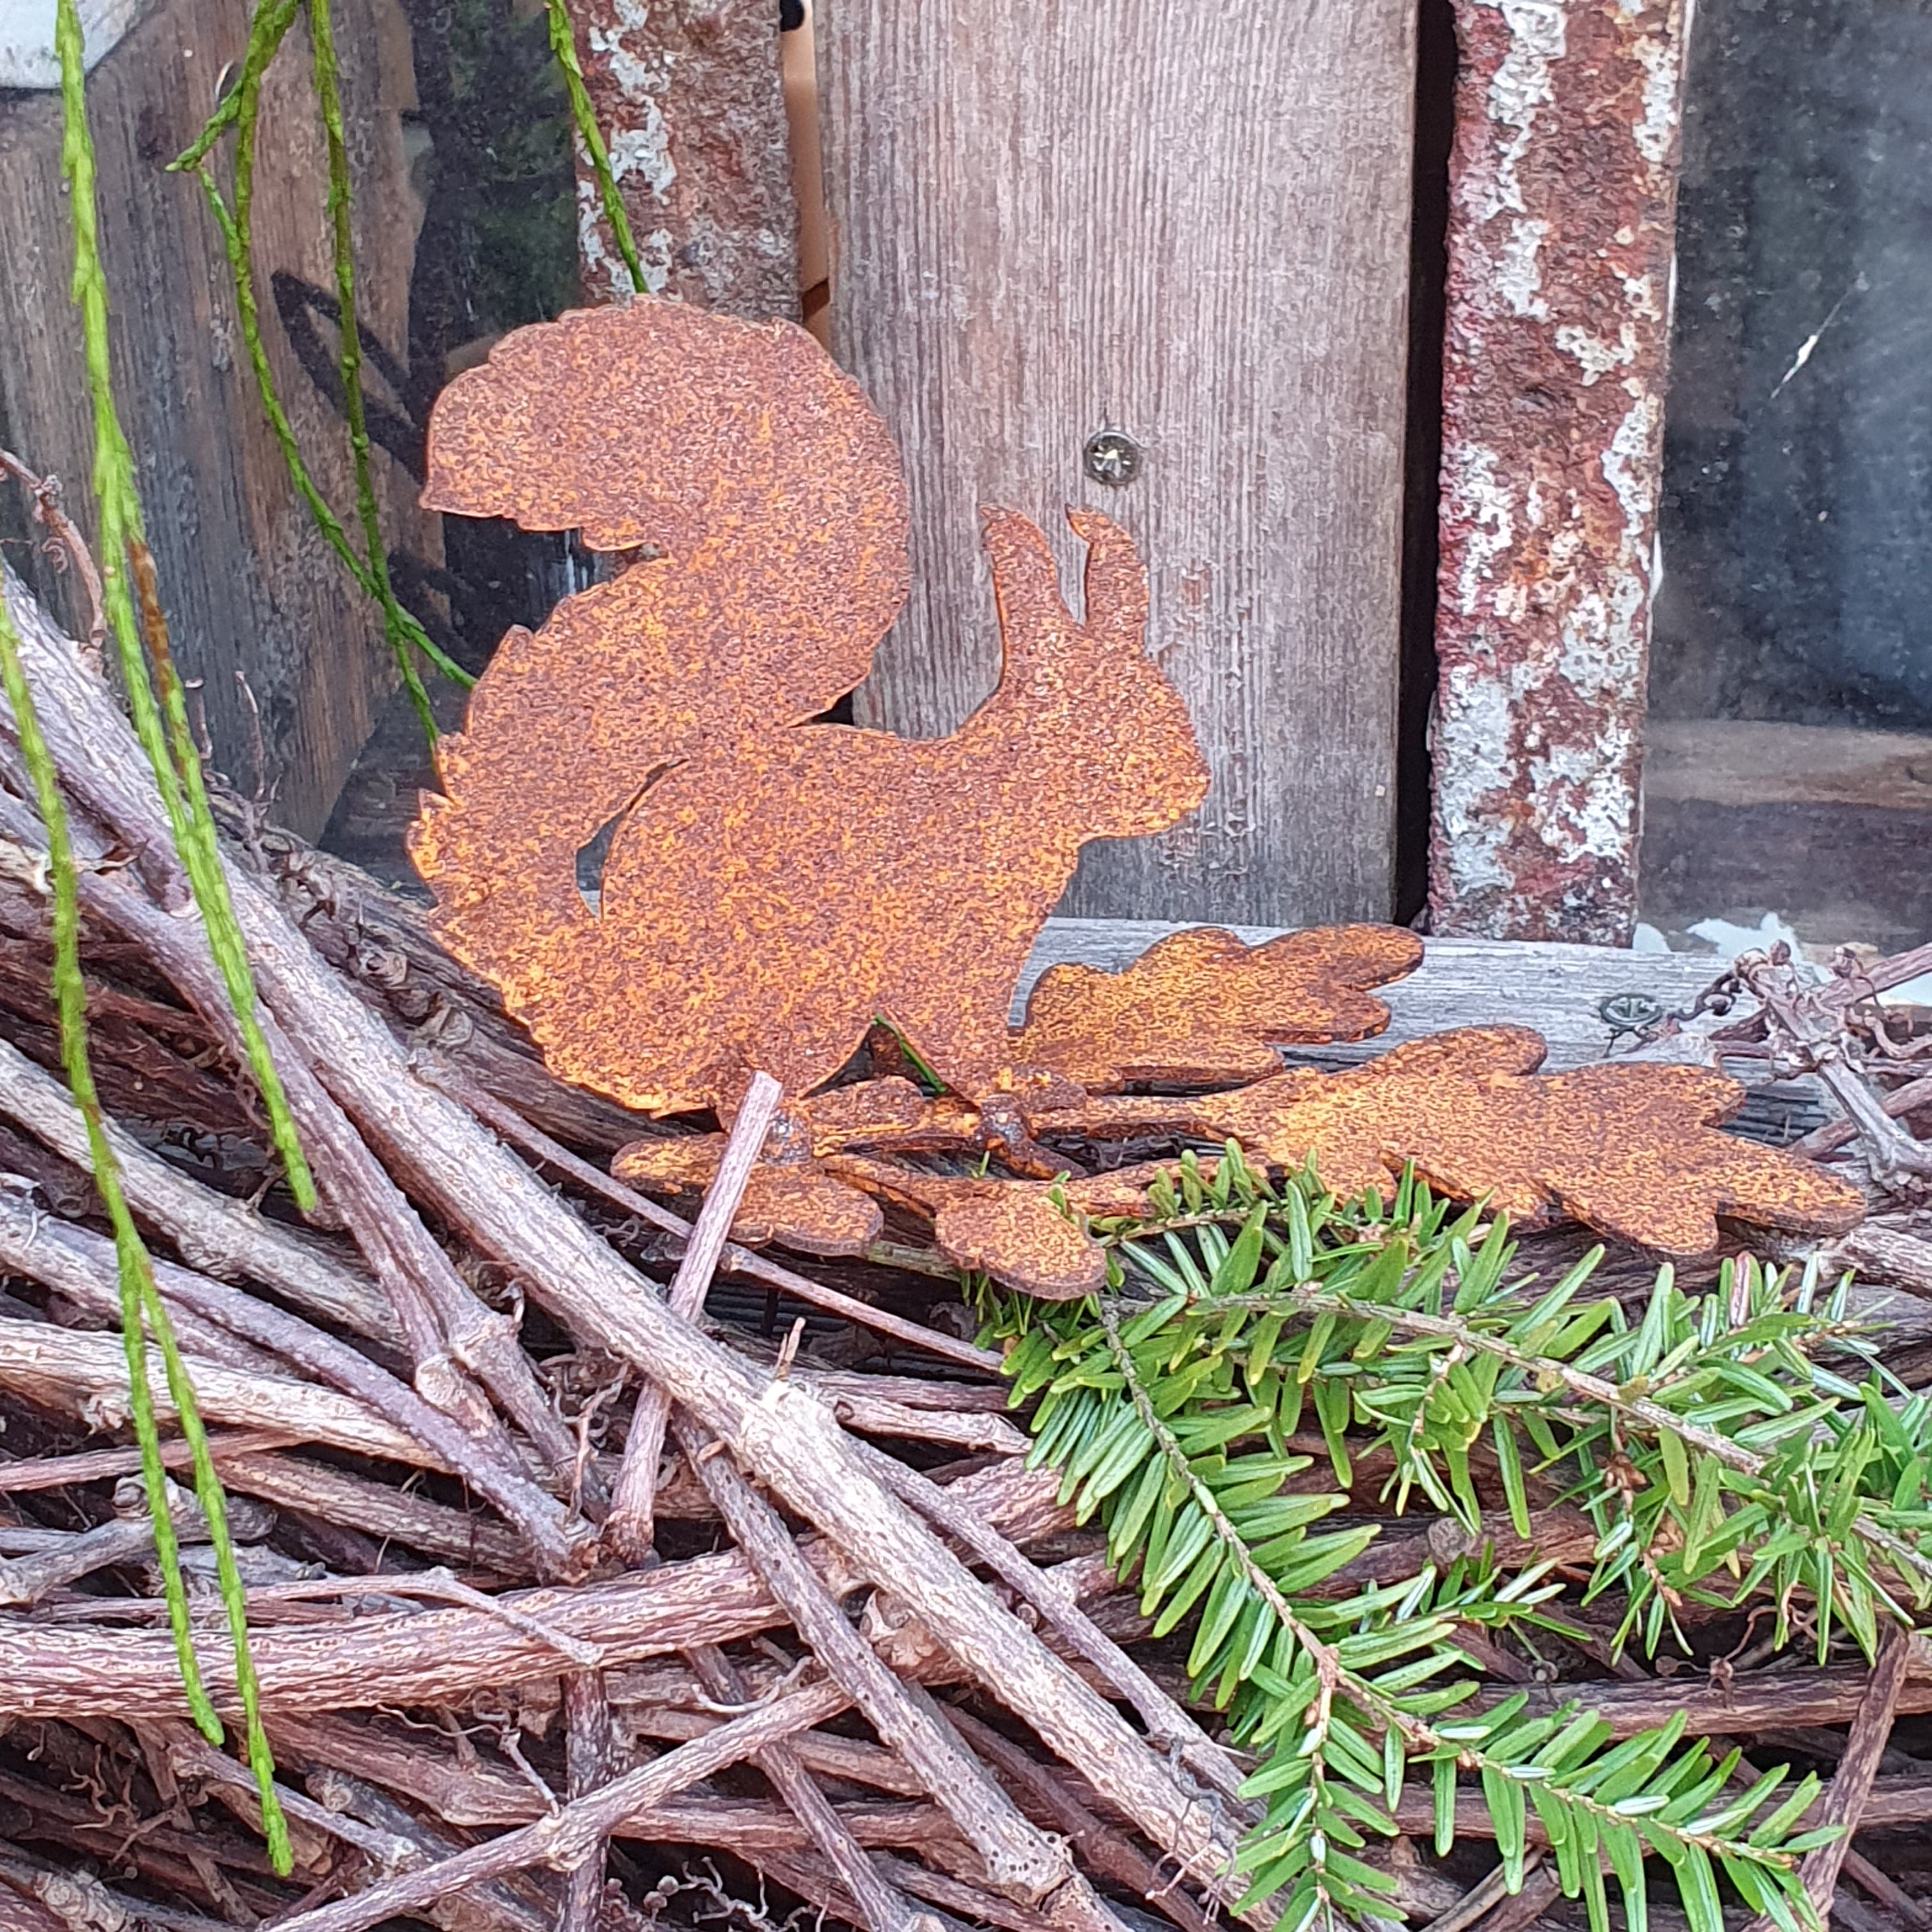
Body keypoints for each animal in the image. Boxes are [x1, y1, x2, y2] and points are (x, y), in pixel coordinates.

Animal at [408, 298, 1208, 1117]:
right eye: (1115, 726)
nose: (1194, 787)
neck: (1006, 792)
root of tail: (619, 1005)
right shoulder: (949, 940)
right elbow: (958, 1034)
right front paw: (1015, 1083)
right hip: (811, 1001)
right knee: (742, 1095)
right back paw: (853, 1109)